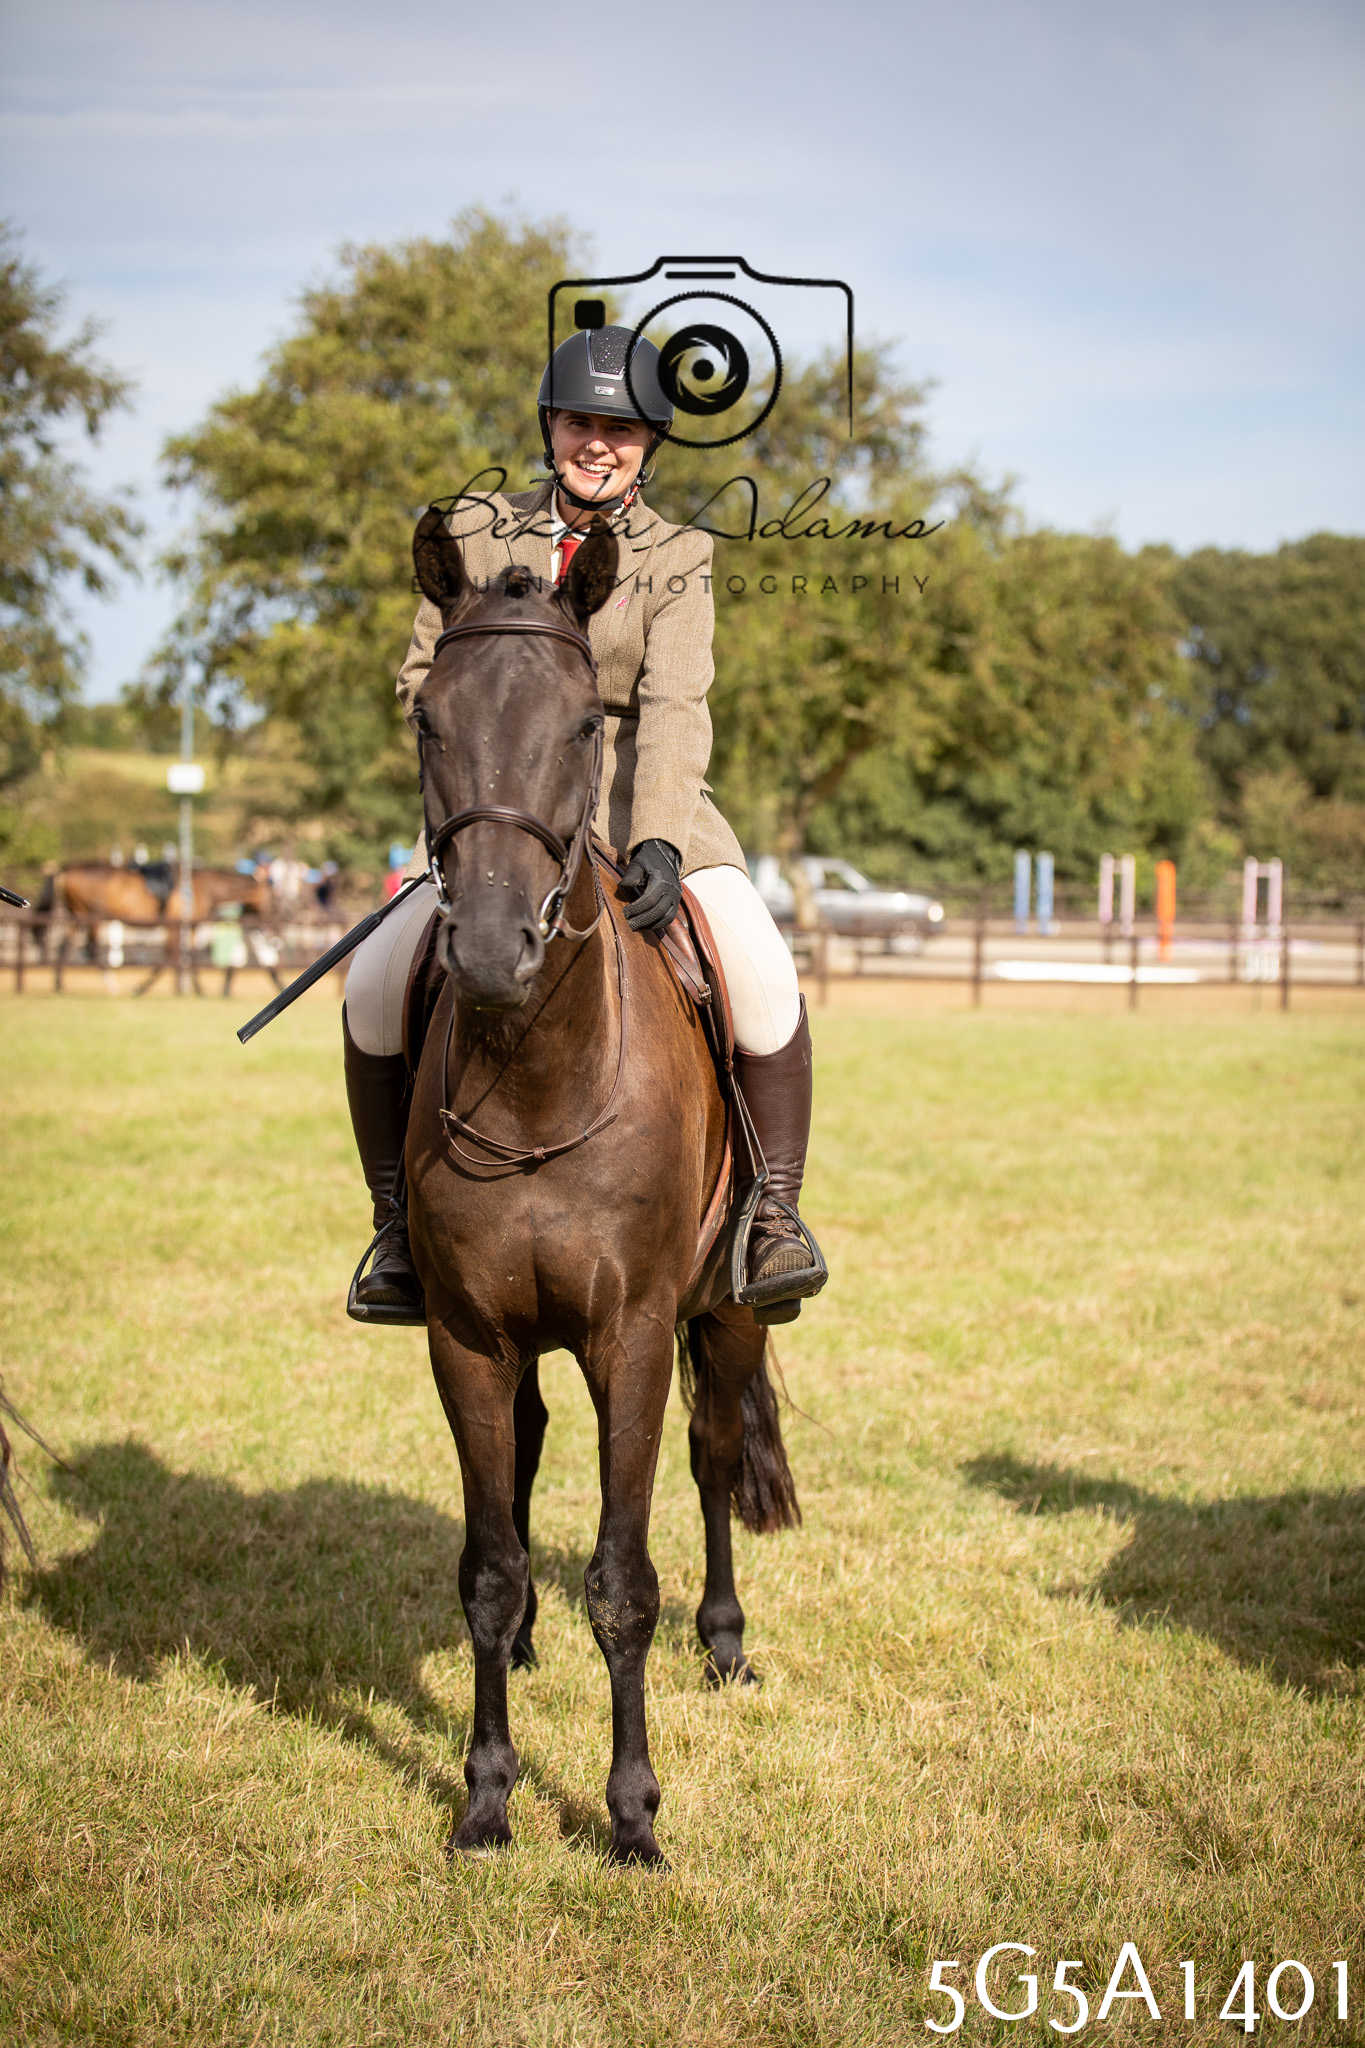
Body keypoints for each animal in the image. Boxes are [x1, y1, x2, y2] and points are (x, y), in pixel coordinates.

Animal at [404, 509, 800, 1867]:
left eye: (587, 723)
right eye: (426, 718)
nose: (488, 947)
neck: (537, 1072)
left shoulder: (629, 1334)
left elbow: (625, 1582)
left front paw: (630, 1815)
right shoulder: (467, 1335)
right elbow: (486, 1568)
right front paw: (485, 1798)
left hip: (725, 1311)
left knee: (716, 1449)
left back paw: (726, 1642)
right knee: (526, 1461)